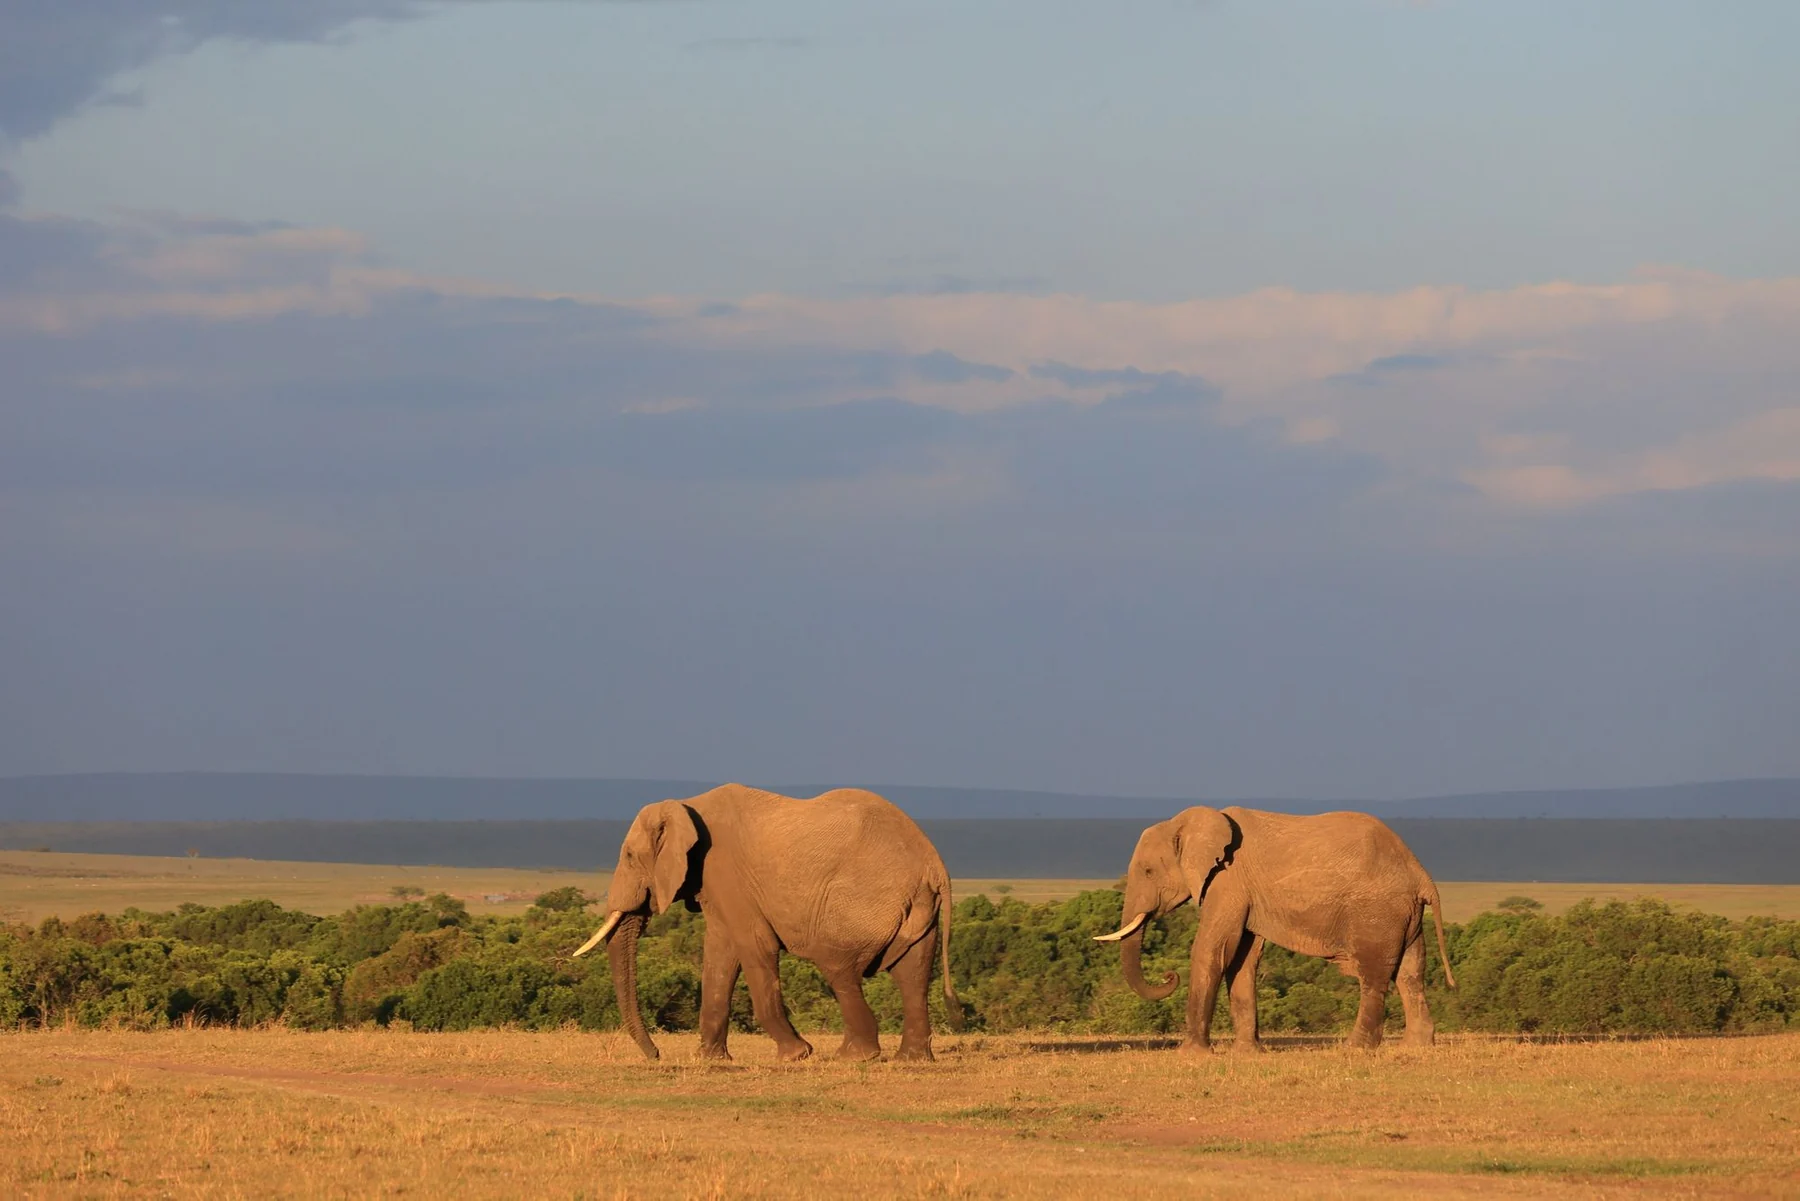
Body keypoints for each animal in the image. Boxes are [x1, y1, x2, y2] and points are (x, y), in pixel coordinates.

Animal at [573, 784, 963, 1062]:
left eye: (629, 856)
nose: (656, 1055)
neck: (685, 804)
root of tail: (934, 864)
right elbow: (720, 952)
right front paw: (710, 1060)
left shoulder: (723, 869)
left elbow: (753, 944)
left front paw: (796, 1056)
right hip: (916, 910)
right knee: (912, 973)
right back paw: (911, 1059)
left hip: (861, 901)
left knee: (838, 967)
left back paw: (854, 1057)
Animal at [1094, 806, 1455, 1051]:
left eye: (1148, 871)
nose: (1168, 975)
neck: (1189, 822)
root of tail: (1422, 875)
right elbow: (1243, 960)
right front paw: (1247, 1054)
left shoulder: (1228, 881)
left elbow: (1212, 951)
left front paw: (1193, 1054)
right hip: (1404, 914)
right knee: (1411, 973)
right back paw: (1416, 1047)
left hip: (1378, 911)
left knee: (1374, 976)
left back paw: (1355, 1048)